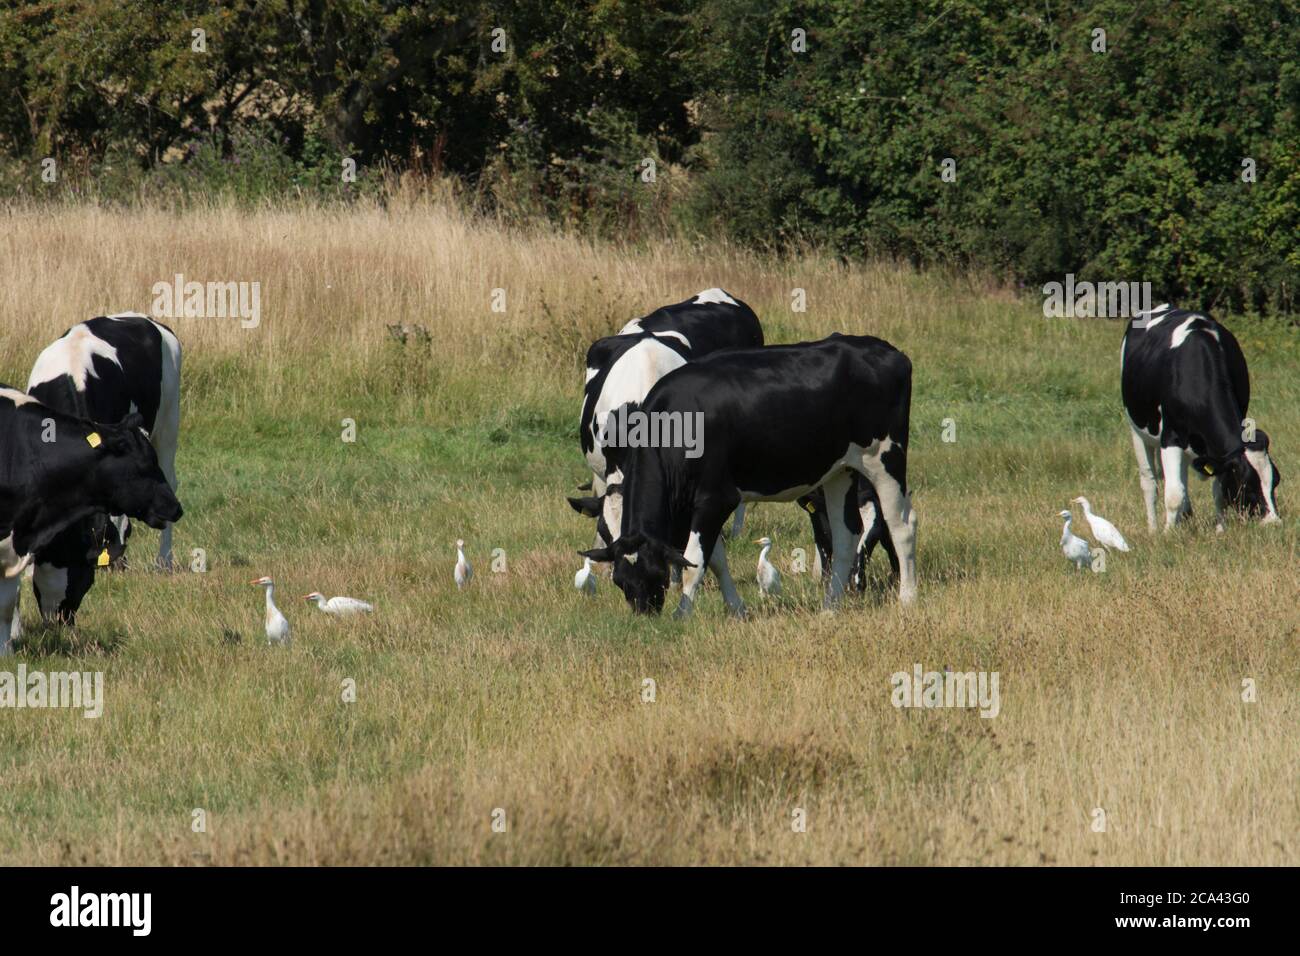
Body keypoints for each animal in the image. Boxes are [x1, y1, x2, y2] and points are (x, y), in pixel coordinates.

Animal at [20, 317, 183, 624]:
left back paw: (164, 561)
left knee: (171, 478)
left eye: (127, 534)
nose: (115, 567)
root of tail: (147, 319)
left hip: (169, 422)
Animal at [579, 332, 915, 616]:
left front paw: (681, 615)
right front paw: (736, 609)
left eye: (657, 574)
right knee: (846, 535)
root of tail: (888, 350)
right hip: (840, 472)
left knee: (902, 525)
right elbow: (715, 559)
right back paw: (830, 607)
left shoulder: (716, 498)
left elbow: (694, 563)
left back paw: (907, 598)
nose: (646, 616)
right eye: (621, 581)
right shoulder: (696, 504)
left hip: (885, 459)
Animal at [1123, 304, 1284, 530]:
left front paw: (1220, 529)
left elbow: (1218, 490)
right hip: (1136, 428)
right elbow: (1173, 494)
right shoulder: (1170, 436)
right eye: (1246, 485)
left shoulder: (1219, 451)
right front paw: (1168, 533)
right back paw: (1154, 529)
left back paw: (1185, 516)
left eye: (1276, 480)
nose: (1274, 522)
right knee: (1149, 481)